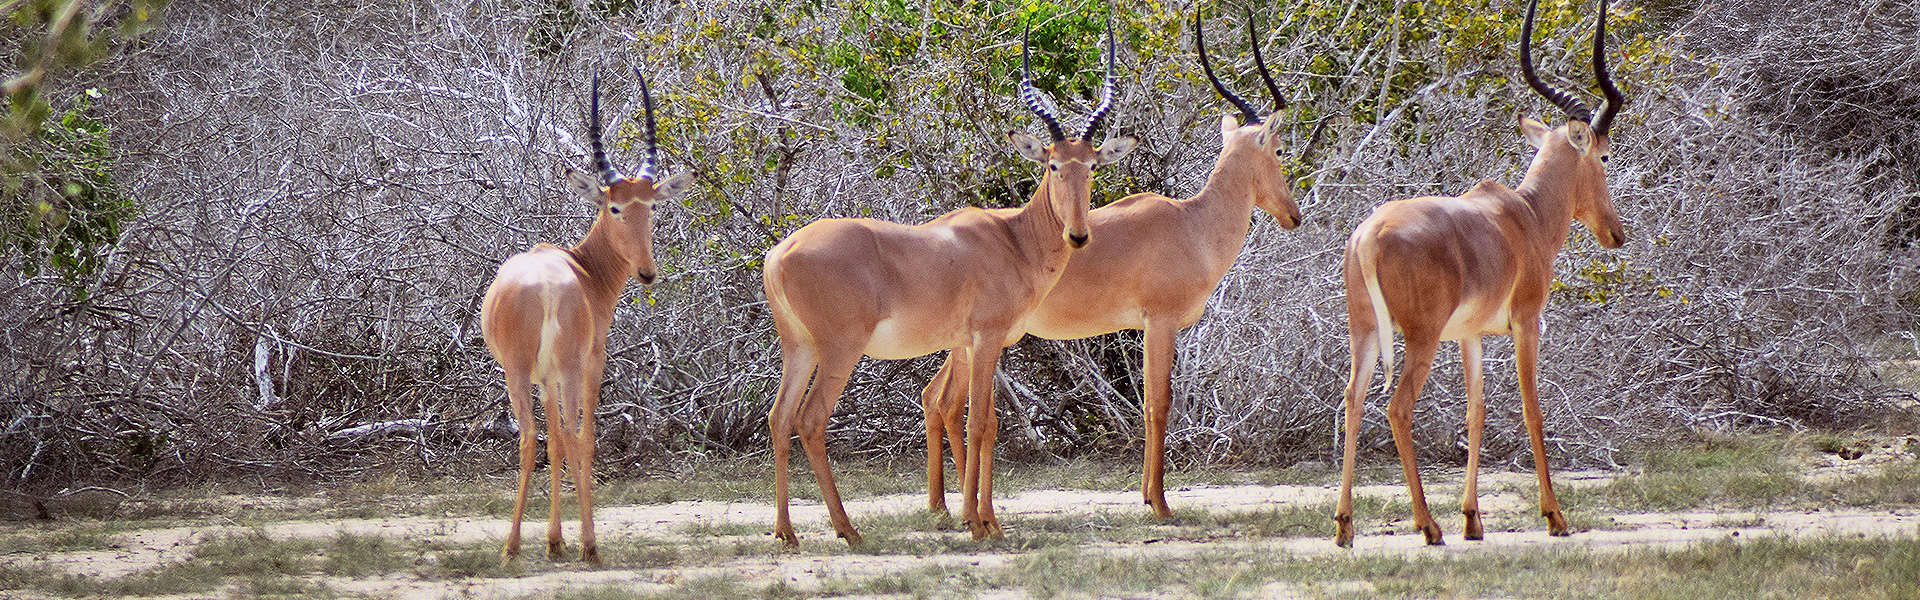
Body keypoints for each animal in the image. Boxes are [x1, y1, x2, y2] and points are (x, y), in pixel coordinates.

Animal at [483, 70, 695, 561]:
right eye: (614, 206)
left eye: (650, 204)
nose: (647, 272)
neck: (581, 269)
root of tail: (544, 286)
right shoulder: (589, 363)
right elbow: (582, 437)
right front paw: (571, 539)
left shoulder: (544, 377)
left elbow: (556, 441)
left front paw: (554, 538)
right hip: (570, 367)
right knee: (575, 433)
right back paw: (590, 544)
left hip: (518, 370)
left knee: (532, 438)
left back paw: (512, 545)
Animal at [756, 18, 1128, 546]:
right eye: (1052, 163)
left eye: (1092, 165)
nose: (1078, 235)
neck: (1010, 238)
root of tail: (779, 254)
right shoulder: (987, 339)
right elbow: (981, 422)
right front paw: (980, 522)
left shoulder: (970, 344)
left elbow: (973, 419)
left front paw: (979, 517)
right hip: (840, 349)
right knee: (810, 419)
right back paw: (848, 530)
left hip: (800, 347)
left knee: (779, 416)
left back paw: (787, 532)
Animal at [913, 4, 1305, 519]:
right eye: (1279, 150)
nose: (1293, 214)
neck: (1190, 224)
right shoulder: (1160, 323)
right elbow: (1159, 403)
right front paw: (1160, 503)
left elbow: (1149, 404)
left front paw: (1145, 495)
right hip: (977, 341)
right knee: (949, 402)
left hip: (968, 341)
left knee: (936, 397)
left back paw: (943, 504)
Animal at [1328, 0, 1628, 550]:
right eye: (1604, 155)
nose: (1615, 233)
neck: (1525, 217)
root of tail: (1370, 235)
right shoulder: (1526, 323)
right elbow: (1532, 409)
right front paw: (1554, 517)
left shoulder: (1470, 336)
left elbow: (1477, 410)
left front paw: (1473, 519)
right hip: (1420, 338)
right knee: (1398, 408)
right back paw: (1428, 526)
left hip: (1364, 332)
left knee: (1353, 399)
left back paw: (1345, 528)